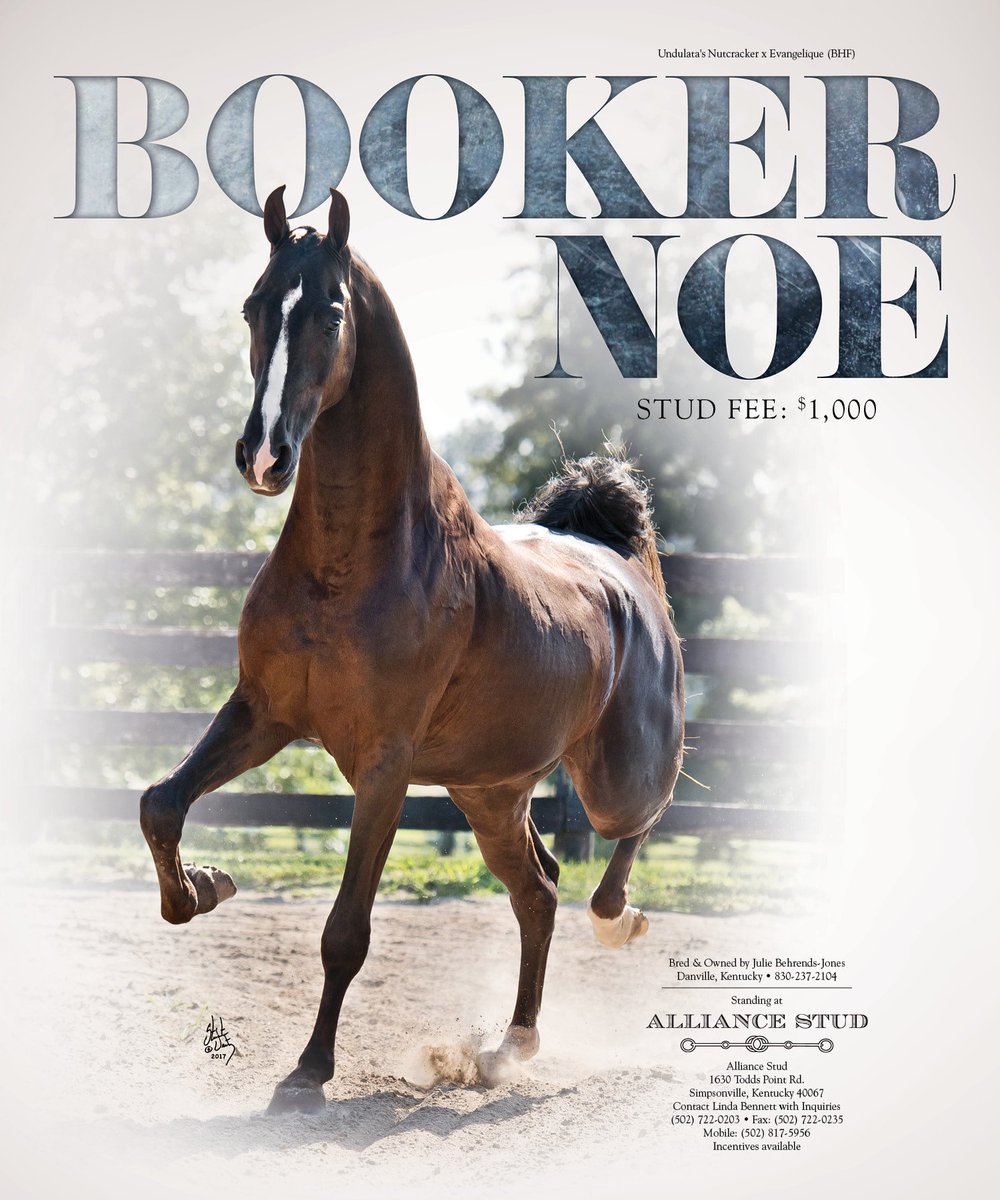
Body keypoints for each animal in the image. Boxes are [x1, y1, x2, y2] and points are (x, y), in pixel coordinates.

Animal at [139, 186, 684, 1114]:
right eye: (254, 306)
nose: (263, 456)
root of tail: (617, 560)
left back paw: (620, 922)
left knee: (632, 829)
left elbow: (346, 933)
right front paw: (206, 888)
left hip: (610, 777)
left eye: (329, 312)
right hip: (489, 792)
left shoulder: (383, 767)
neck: (353, 563)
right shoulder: (263, 714)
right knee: (537, 891)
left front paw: (308, 1071)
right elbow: (160, 804)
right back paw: (508, 1049)